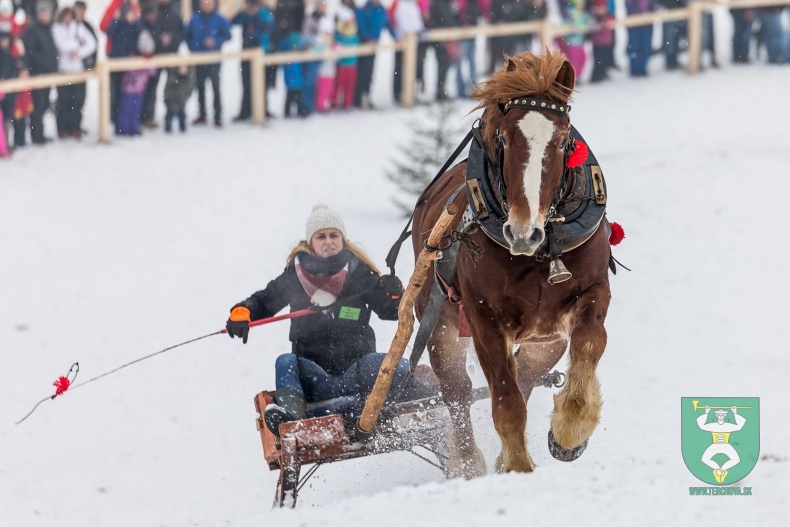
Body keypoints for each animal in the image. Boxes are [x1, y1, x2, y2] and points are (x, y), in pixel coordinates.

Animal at [414, 52, 612, 478]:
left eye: (562, 140)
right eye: (504, 139)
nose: (523, 232)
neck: (539, 254)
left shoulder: (592, 292)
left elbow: (589, 342)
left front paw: (571, 427)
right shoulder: (483, 318)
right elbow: (505, 401)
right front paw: (518, 467)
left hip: (544, 340)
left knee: (527, 374)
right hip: (440, 328)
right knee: (456, 391)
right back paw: (467, 464)